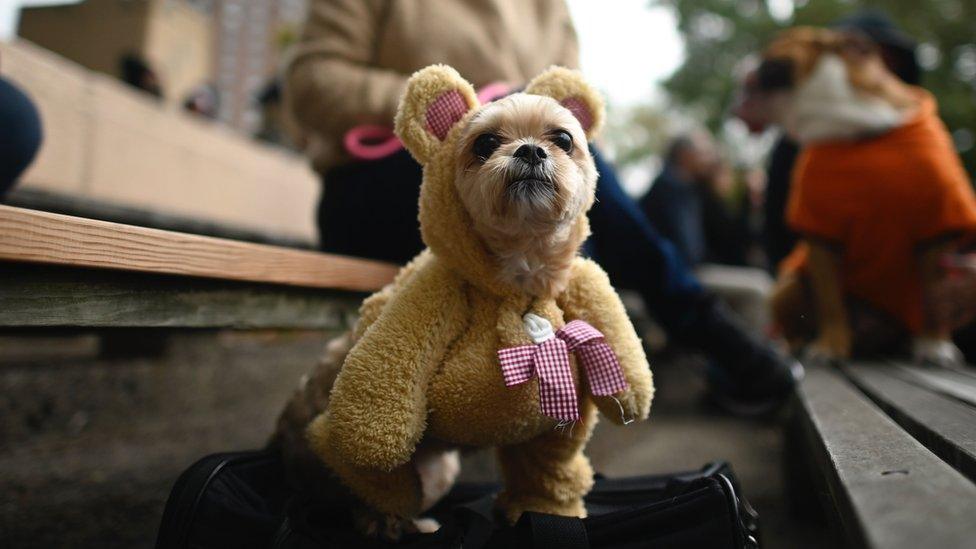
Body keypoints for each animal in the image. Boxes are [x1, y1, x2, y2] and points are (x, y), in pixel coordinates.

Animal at [760, 27, 976, 366]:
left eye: (779, 43)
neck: (857, 129)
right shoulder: (822, 229)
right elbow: (830, 301)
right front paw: (829, 347)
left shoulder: (937, 224)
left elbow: (933, 296)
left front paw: (934, 345)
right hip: (787, 285)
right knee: (799, 321)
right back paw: (797, 344)